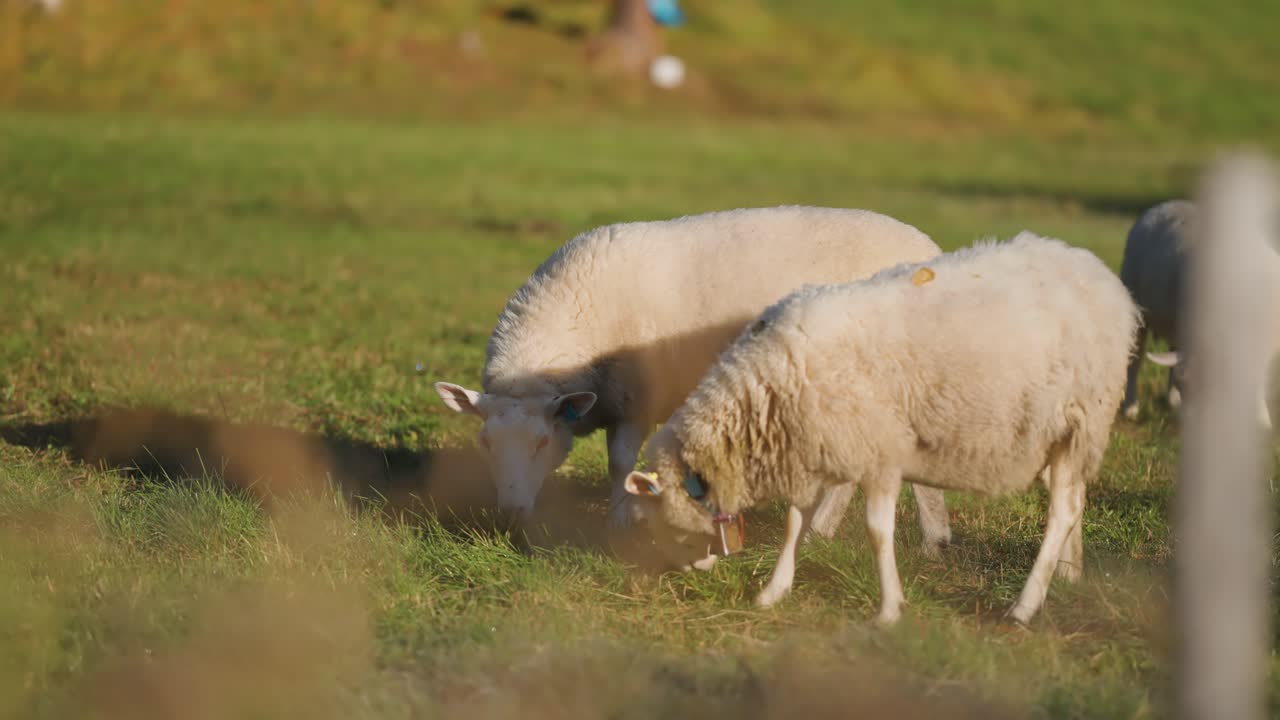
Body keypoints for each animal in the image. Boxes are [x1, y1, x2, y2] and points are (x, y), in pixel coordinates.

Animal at [433, 205, 953, 550]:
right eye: (485, 442)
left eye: (542, 441)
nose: (510, 515)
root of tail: (931, 250)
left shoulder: (637, 399)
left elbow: (620, 463)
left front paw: (620, 522)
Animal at [623, 232, 1140, 626]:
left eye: (661, 526)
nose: (696, 570)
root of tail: (1100, 275)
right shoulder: (816, 445)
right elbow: (793, 523)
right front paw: (773, 591)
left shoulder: (880, 452)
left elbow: (876, 532)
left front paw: (889, 608)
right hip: (1058, 436)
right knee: (1073, 501)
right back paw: (1068, 573)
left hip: (1083, 419)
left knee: (1062, 511)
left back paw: (1025, 605)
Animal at [1120, 200, 1276, 426]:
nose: (1189, 426)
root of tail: (1166, 205)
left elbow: (1257, 379)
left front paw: (1261, 420)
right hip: (1138, 309)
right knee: (1136, 361)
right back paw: (1132, 407)